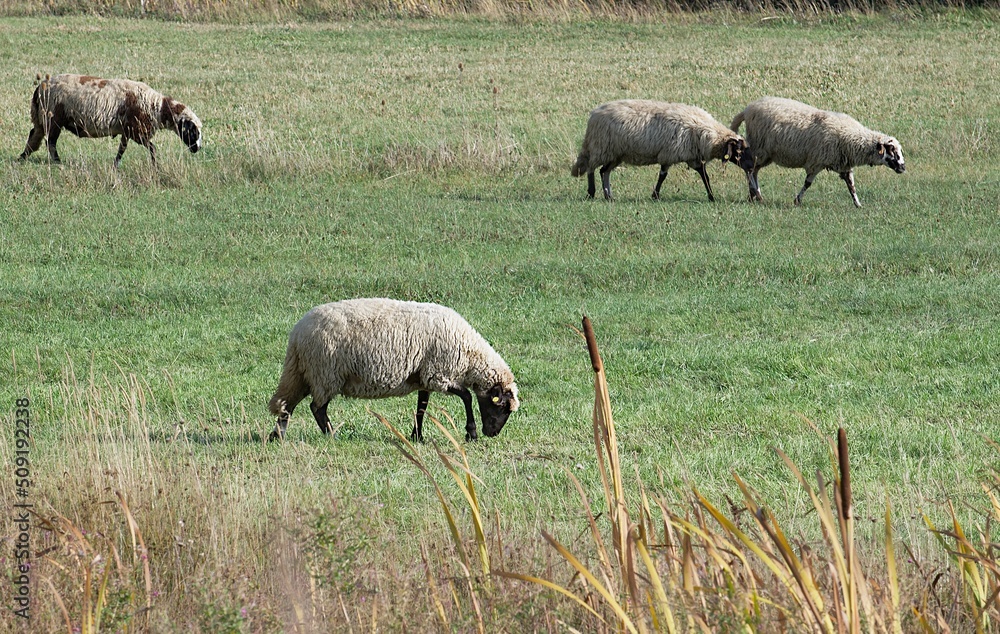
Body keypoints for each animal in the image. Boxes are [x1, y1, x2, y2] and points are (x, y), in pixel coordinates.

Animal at [18, 73, 202, 168]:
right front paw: (155, 165)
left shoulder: (127, 130)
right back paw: (57, 162)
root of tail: (40, 87)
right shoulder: (137, 131)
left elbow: (122, 149)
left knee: (35, 135)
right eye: (193, 131)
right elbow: (153, 148)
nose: (197, 149)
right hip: (53, 117)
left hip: (42, 118)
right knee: (50, 142)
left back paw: (23, 156)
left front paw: (115, 164)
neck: (156, 107)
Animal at [268, 298, 520, 443]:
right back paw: (332, 436)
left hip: (303, 372)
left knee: (287, 404)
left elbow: (421, 407)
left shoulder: (425, 377)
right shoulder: (438, 374)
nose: (492, 433)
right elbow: (467, 396)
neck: (469, 355)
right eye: (502, 408)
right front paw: (471, 433)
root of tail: (297, 334)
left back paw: (277, 436)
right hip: (326, 373)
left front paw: (417, 436)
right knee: (316, 408)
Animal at [571, 100, 756, 202]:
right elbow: (663, 176)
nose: (751, 166)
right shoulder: (670, 154)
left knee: (604, 171)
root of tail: (595, 113)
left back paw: (609, 196)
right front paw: (655, 196)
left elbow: (704, 175)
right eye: (740, 151)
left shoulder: (692, 156)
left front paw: (711, 196)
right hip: (602, 147)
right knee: (592, 168)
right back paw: (591, 193)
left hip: (616, 153)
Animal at [729, 97, 905, 208]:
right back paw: (757, 195)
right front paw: (797, 200)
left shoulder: (844, 164)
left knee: (753, 170)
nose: (903, 168)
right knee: (749, 170)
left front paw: (858, 204)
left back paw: (754, 195)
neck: (851, 138)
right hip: (759, 148)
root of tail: (747, 110)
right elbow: (808, 183)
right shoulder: (817, 162)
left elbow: (851, 186)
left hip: (764, 154)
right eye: (892, 150)